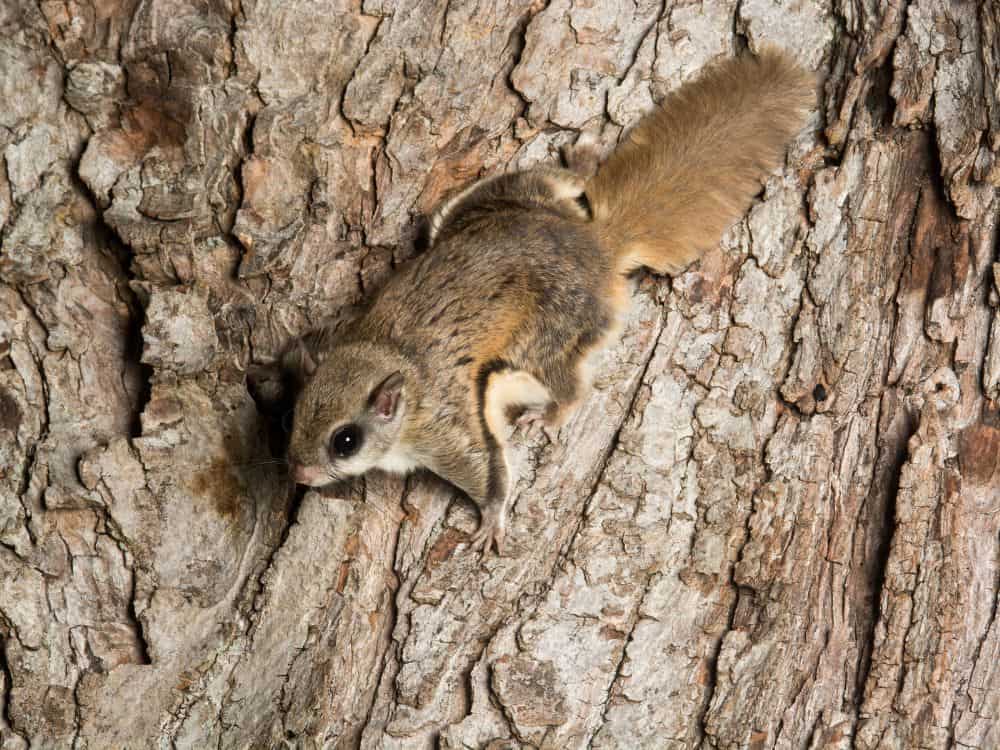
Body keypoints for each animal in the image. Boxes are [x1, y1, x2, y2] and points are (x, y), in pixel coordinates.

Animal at [285, 48, 815, 554]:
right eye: (294, 414)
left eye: (345, 441)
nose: (299, 475)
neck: (388, 358)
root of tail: (597, 246)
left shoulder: (444, 426)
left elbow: (486, 470)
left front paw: (490, 521)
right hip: (491, 201)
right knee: (553, 183)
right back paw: (579, 163)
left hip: (547, 335)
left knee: (570, 384)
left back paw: (552, 413)